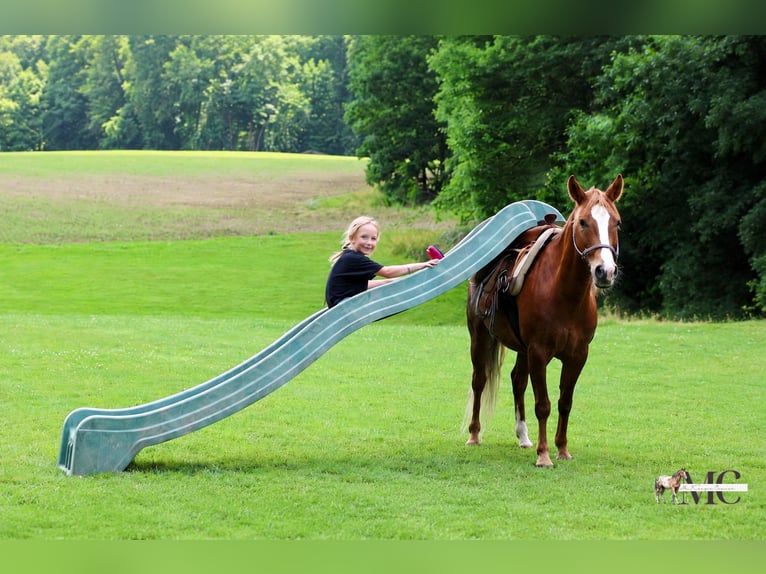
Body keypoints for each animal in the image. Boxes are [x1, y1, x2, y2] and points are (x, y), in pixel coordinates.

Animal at [465, 174, 624, 467]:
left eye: (616, 222)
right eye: (583, 222)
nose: (605, 271)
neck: (565, 294)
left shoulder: (577, 355)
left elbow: (564, 402)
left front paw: (562, 449)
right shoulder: (539, 352)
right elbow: (543, 404)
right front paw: (544, 455)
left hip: (522, 349)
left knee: (517, 380)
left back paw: (523, 436)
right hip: (480, 336)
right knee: (479, 380)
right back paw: (474, 434)